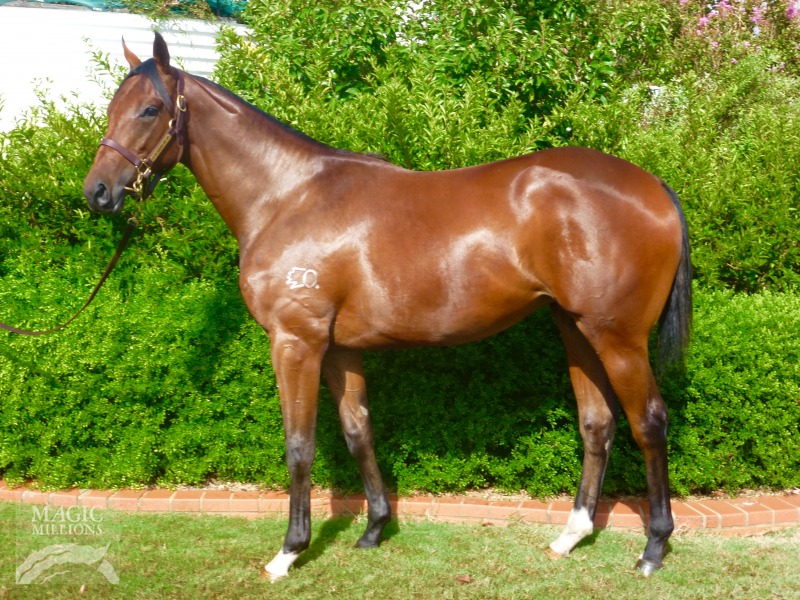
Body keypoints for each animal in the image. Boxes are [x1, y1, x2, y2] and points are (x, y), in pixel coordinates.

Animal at [84, 34, 692, 580]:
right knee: (597, 423)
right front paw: (374, 529)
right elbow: (359, 431)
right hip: (575, 328)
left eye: (150, 108)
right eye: (112, 108)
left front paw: (289, 552)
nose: (98, 192)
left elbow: (299, 446)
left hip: (618, 337)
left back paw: (653, 549)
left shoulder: (296, 342)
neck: (285, 197)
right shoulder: (338, 349)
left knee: (648, 422)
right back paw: (571, 536)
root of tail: (654, 187)